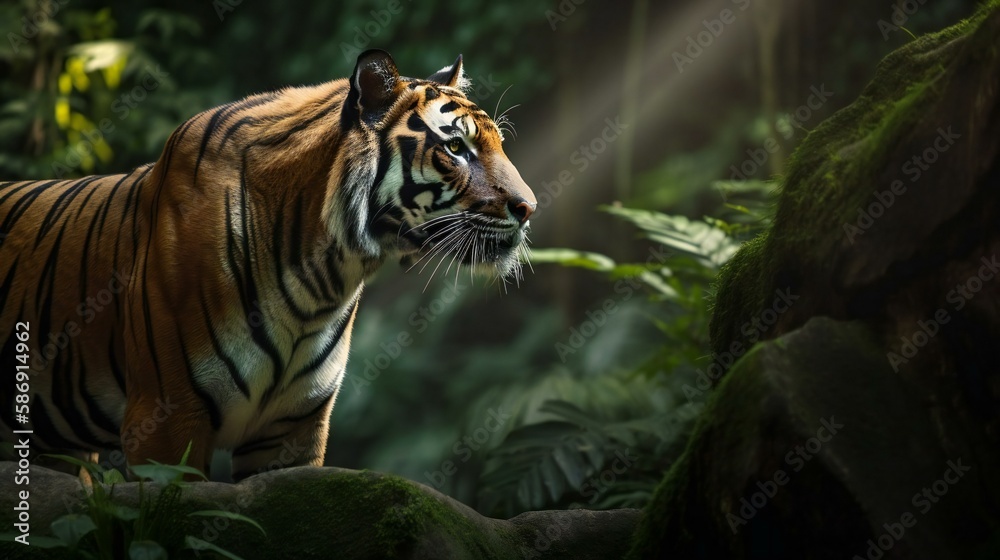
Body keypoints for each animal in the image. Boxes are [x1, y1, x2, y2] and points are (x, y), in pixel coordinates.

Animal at [0, 50, 536, 481]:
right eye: (455, 148)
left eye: (498, 144)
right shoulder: (165, 420)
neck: (322, 280)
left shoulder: (292, 431)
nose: (529, 207)